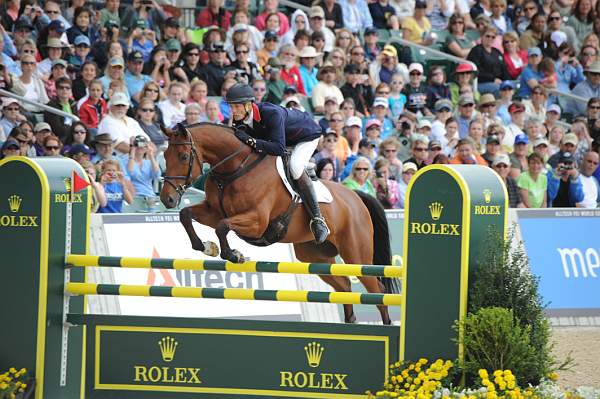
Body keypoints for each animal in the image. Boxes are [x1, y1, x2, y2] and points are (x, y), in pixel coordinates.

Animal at [159, 124, 394, 324]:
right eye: (165, 156)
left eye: (183, 156)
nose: (167, 199)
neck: (234, 169)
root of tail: (356, 196)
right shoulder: (213, 212)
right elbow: (186, 215)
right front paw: (207, 247)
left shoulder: (257, 222)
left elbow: (222, 226)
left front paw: (234, 254)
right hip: (314, 255)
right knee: (344, 285)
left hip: (356, 254)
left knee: (377, 289)